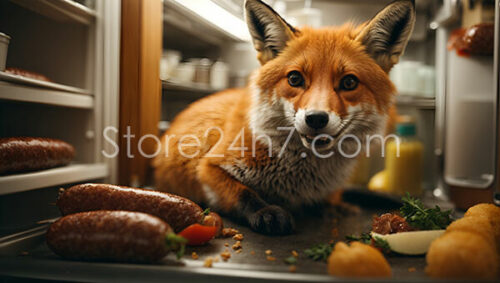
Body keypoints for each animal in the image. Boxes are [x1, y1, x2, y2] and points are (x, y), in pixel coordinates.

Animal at [153, 0, 418, 235]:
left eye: (349, 82)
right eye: (294, 78)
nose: (316, 118)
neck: (300, 177)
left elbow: (329, 198)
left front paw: (332, 206)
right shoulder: (209, 167)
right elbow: (243, 193)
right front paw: (266, 212)